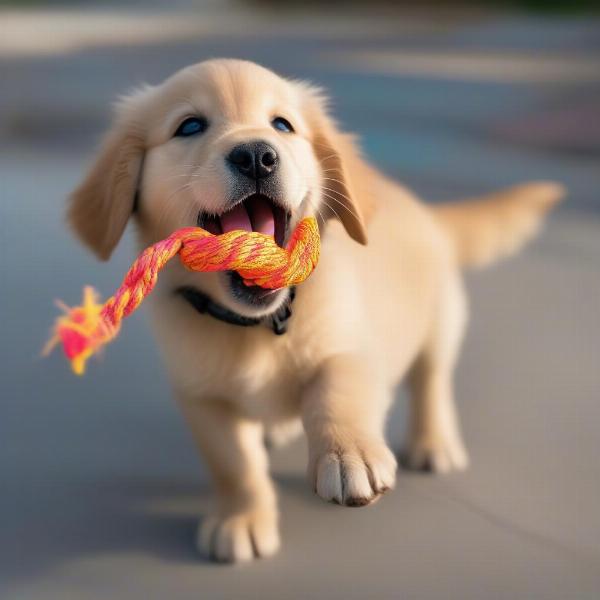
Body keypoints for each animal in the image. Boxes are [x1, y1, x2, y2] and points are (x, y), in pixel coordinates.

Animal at [68, 59, 564, 564]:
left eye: (282, 125)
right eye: (189, 126)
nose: (256, 155)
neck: (257, 323)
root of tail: (425, 211)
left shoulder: (351, 347)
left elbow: (336, 391)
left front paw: (348, 455)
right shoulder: (201, 397)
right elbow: (234, 463)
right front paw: (241, 518)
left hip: (441, 320)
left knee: (432, 381)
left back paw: (434, 442)